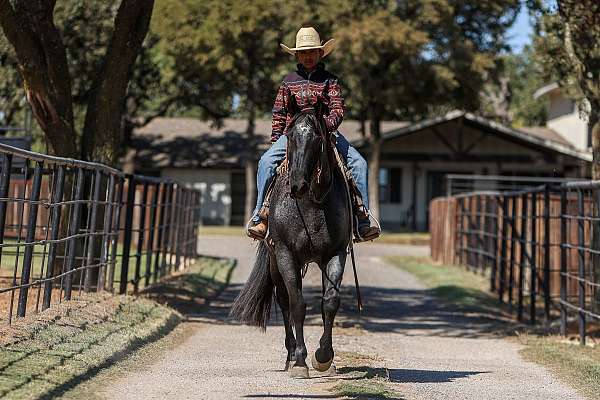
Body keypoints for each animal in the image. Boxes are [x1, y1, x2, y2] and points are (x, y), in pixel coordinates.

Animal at [230, 99, 352, 378]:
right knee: (284, 301)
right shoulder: (286, 254)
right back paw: (290, 355)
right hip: (276, 262)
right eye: (290, 136)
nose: (297, 184)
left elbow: (330, 301)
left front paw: (324, 357)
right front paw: (300, 362)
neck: (312, 203)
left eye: (317, 136)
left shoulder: (336, 253)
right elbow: (297, 304)